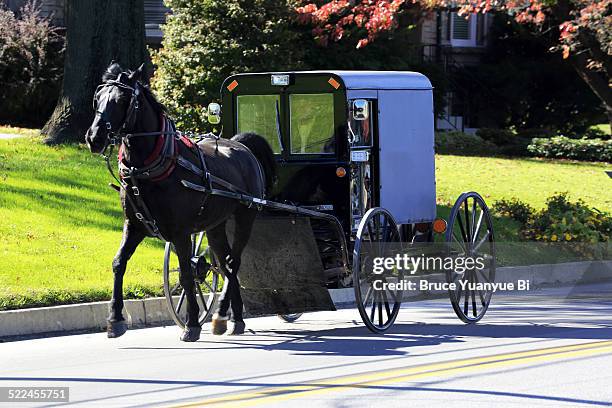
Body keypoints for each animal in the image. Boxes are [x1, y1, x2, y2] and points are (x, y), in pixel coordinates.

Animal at [83, 63, 274, 342]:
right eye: (97, 98)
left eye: (121, 100)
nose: (94, 137)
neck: (149, 168)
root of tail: (241, 146)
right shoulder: (134, 225)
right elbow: (119, 263)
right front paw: (115, 319)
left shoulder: (181, 232)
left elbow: (186, 274)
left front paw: (191, 323)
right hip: (215, 226)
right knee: (224, 264)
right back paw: (231, 317)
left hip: (245, 216)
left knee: (232, 262)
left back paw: (222, 313)